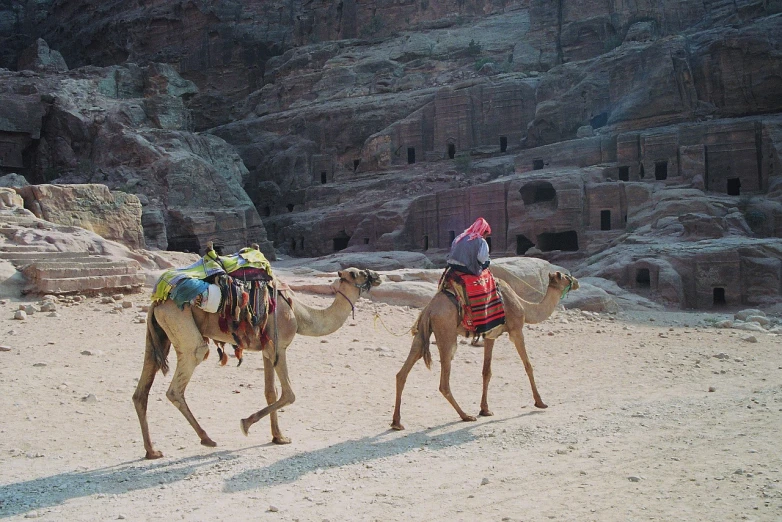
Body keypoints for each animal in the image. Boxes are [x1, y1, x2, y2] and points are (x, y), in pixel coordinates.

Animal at [132, 266, 382, 458]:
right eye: (357, 273)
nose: (377, 276)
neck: (300, 314)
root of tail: (157, 301)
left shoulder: (267, 350)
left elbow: (270, 392)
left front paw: (278, 437)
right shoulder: (279, 347)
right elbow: (289, 394)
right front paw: (246, 423)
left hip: (159, 335)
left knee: (142, 389)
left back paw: (152, 451)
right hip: (182, 325)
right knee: (182, 377)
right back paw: (207, 439)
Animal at [392, 270, 580, 428]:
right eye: (566, 276)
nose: (577, 282)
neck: (525, 307)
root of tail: (429, 309)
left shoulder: (490, 335)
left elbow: (486, 372)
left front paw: (485, 410)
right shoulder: (516, 330)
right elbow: (528, 365)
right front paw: (540, 402)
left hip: (422, 333)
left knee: (402, 372)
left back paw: (396, 422)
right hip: (446, 332)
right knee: (443, 382)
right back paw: (465, 416)